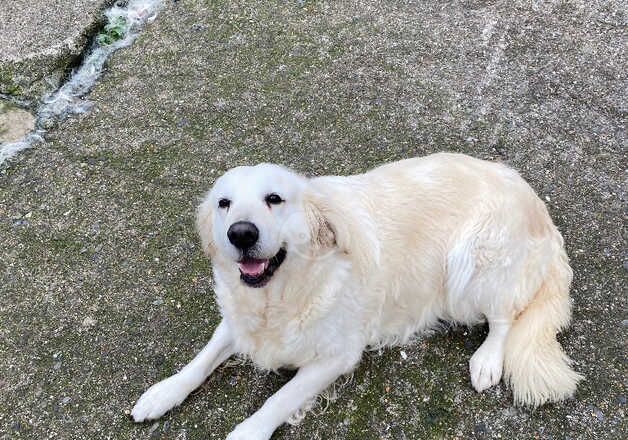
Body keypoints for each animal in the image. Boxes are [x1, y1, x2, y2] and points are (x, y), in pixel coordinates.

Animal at [132, 153, 584, 438]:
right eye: (224, 203)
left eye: (274, 199)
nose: (240, 233)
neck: (282, 294)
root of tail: (537, 206)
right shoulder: (239, 320)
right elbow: (201, 360)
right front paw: (161, 393)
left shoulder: (336, 356)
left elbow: (277, 400)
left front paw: (246, 432)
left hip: (470, 265)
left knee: (505, 316)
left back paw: (487, 361)